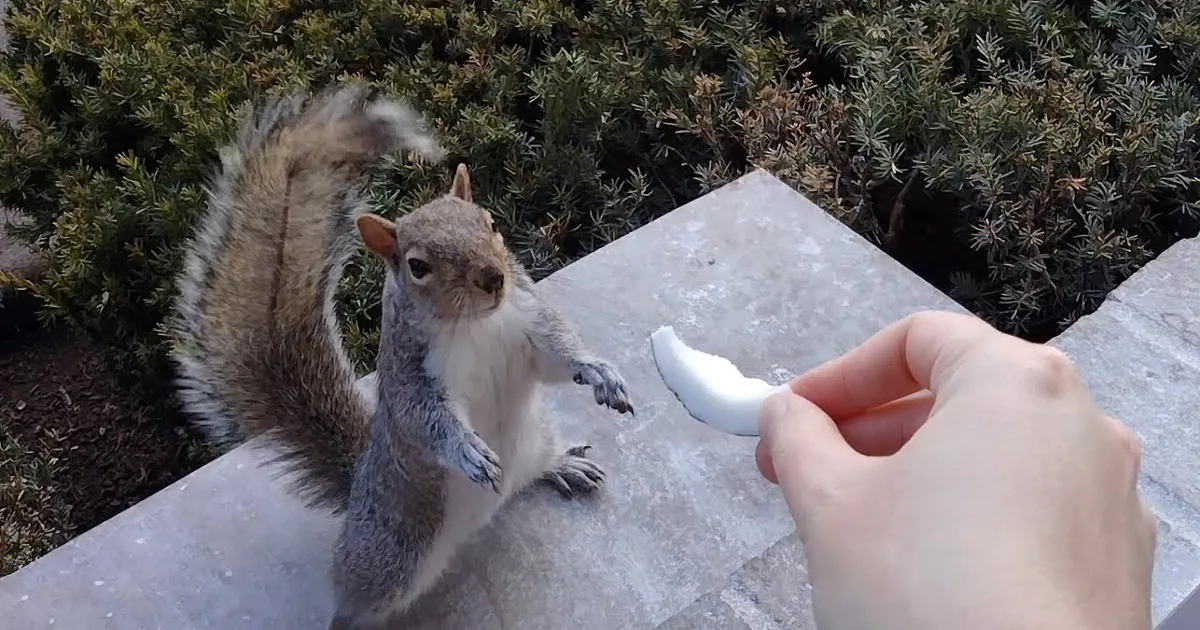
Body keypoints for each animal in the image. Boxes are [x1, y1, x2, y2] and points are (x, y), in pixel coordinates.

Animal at [168, 83, 635, 629]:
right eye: (417, 266)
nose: (493, 277)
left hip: (533, 438)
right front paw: (467, 449)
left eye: (490, 223)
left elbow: (559, 355)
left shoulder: (528, 320)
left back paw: (560, 466)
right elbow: (424, 417)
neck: (475, 323)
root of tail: (357, 488)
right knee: (357, 600)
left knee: (529, 471)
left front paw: (599, 372)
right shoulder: (410, 372)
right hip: (391, 556)